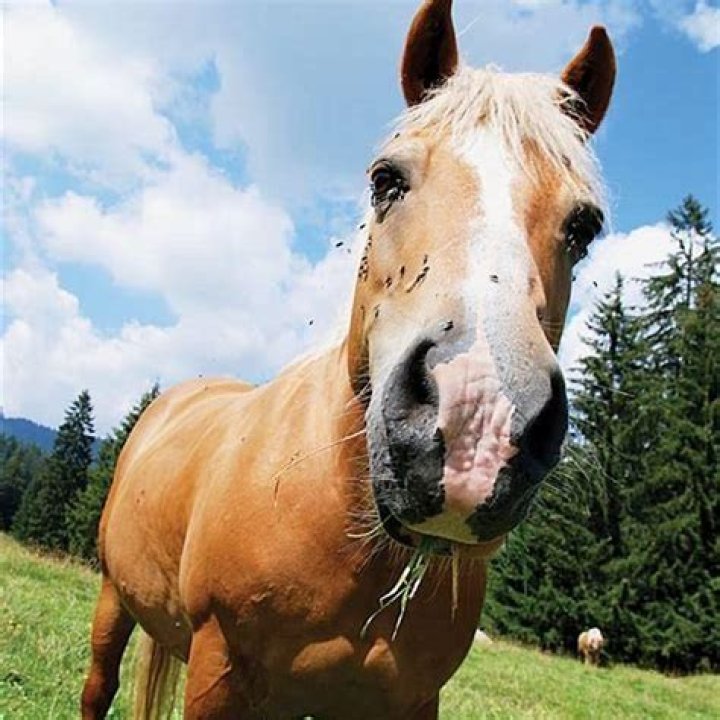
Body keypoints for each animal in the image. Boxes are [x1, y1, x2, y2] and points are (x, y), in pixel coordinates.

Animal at [81, 1, 616, 718]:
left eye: (584, 227)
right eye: (386, 179)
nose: (476, 421)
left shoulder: (407, 700)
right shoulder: (218, 669)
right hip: (113, 597)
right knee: (97, 688)